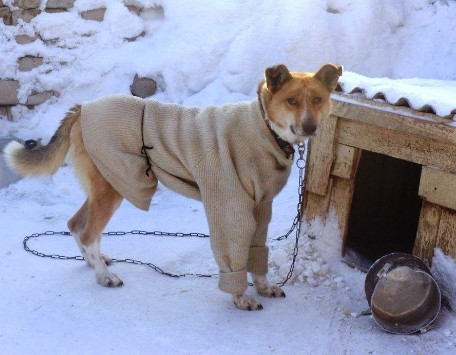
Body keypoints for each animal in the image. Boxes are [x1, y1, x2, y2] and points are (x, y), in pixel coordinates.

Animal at [4, 64, 342, 312]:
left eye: (317, 100)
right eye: (292, 101)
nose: (310, 127)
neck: (263, 127)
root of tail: (83, 107)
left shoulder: (261, 207)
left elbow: (258, 253)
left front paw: (263, 286)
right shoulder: (230, 210)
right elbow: (234, 256)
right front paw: (241, 297)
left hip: (106, 185)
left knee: (76, 225)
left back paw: (92, 262)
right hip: (113, 187)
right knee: (88, 232)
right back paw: (104, 276)